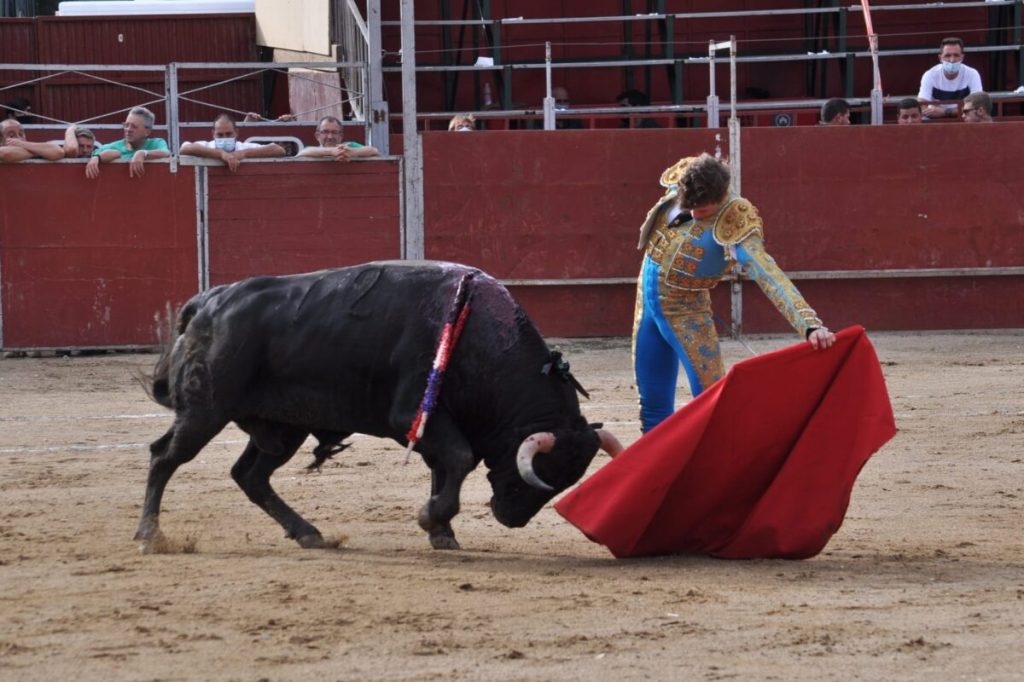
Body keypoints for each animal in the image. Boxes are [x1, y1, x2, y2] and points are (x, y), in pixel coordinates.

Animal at [136, 261, 622, 551]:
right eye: (542, 473)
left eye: (565, 481)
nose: (511, 520)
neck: (480, 338)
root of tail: (209, 302)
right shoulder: (413, 416)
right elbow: (459, 459)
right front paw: (431, 520)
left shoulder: (433, 424)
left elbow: (447, 469)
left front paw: (442, 533)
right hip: (205, 411)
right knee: (165, 457)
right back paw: (149, 535)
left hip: (282, 427)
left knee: (250, 476)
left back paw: (308, 533)